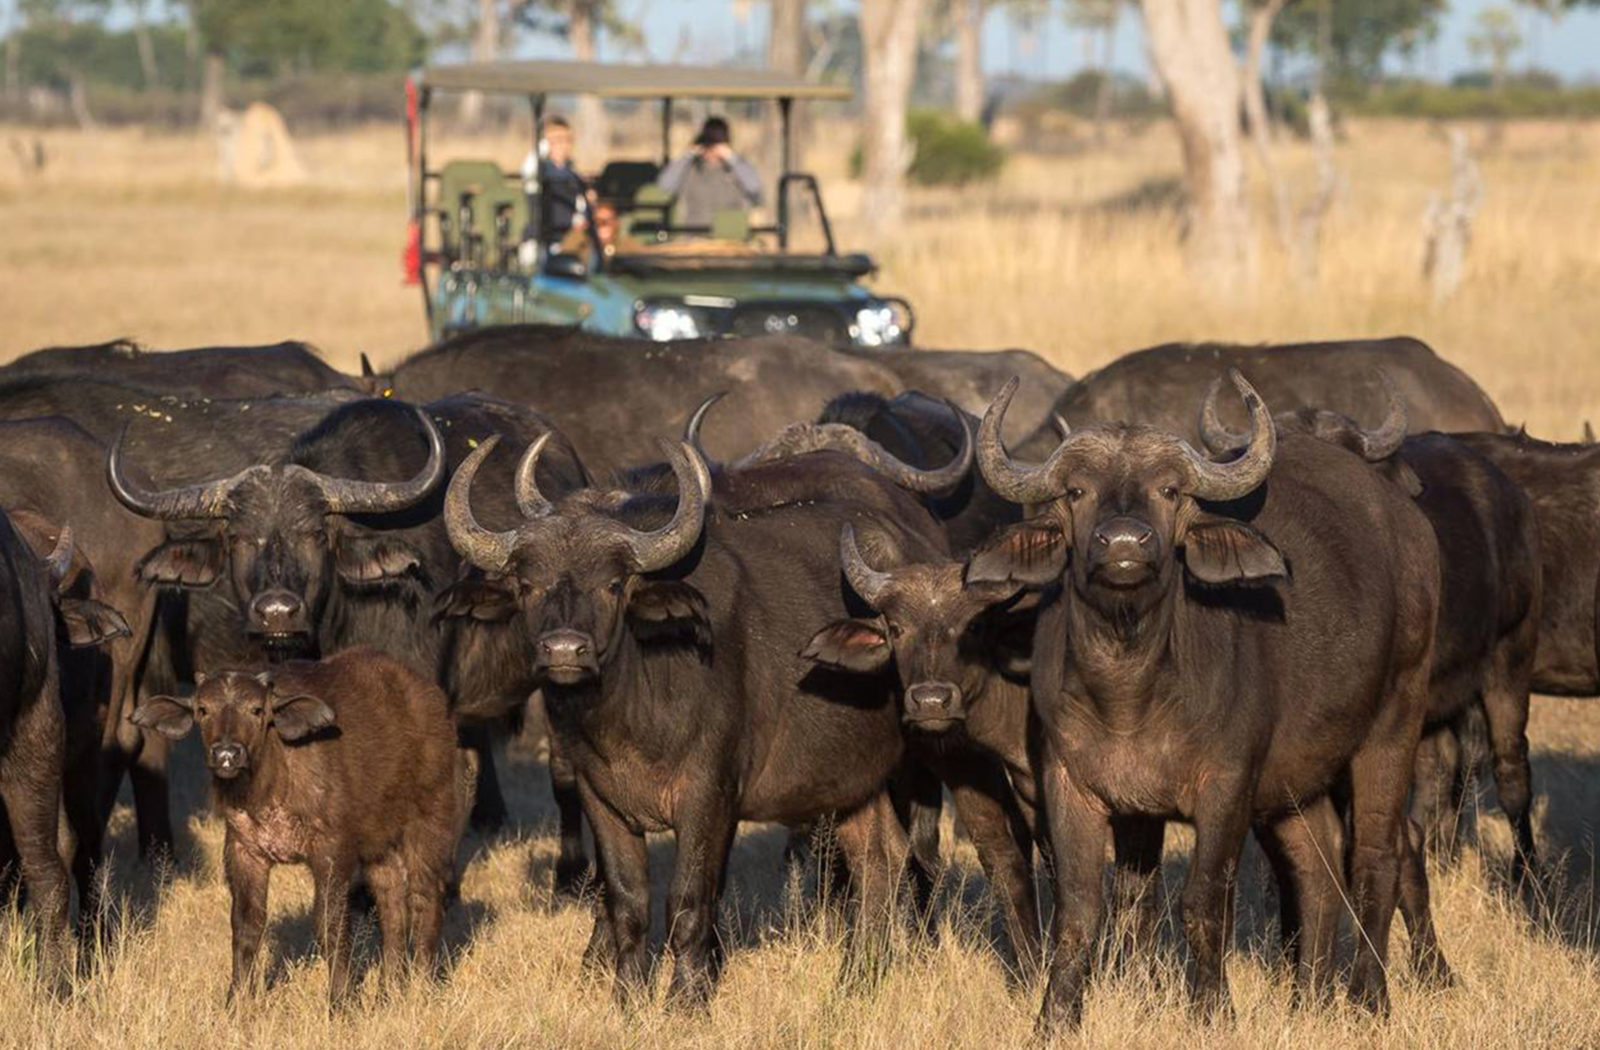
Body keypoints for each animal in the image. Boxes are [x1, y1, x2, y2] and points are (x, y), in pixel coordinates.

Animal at [132, 646, 464, 998]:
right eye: (202, 709)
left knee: (424, 897)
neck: (274, 779)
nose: (226, 755)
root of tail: (435, 702)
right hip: (379, 842)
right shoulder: (243, 850)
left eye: (257, 710)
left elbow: (331, 923)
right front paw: (236, 999)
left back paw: (422, 985)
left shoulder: (332, 850)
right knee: (391, 902)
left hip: (431, 820)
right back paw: (388, 990)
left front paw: (340, 1000)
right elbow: (246, 924)